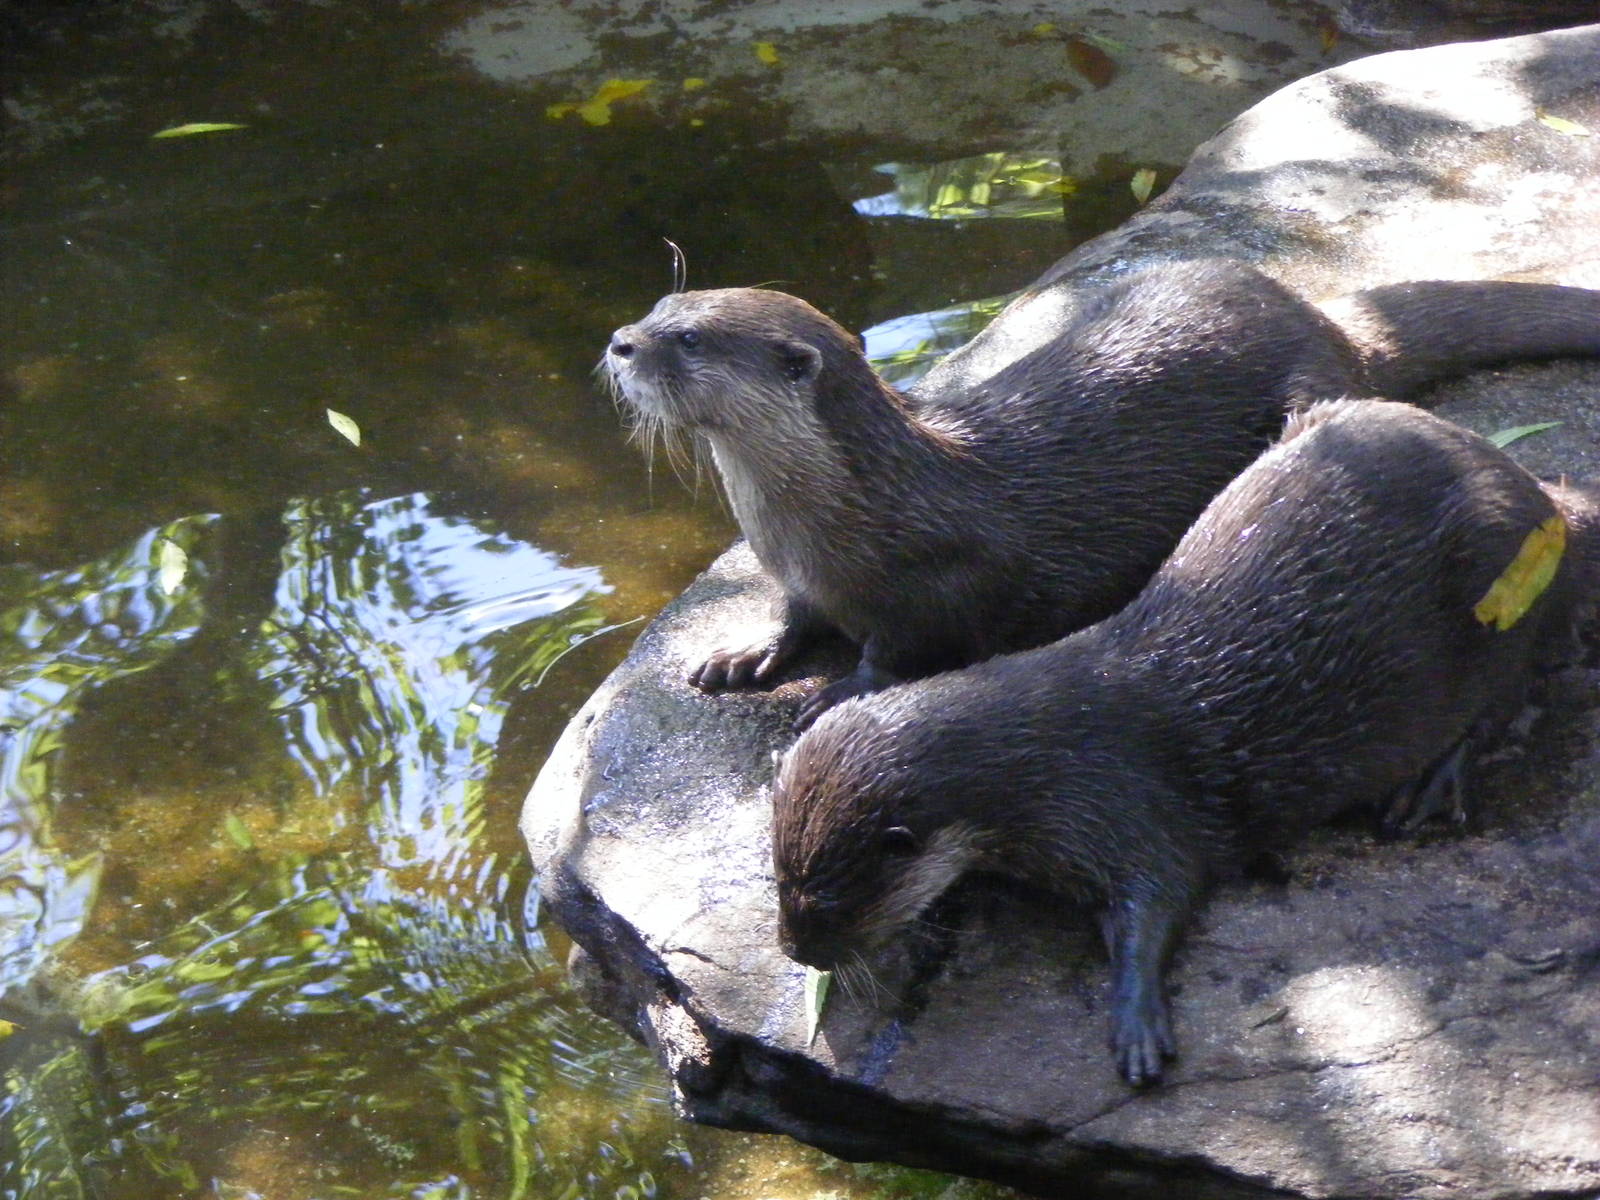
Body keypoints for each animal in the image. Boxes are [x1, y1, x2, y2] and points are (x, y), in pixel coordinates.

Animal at [605, 261, 1600, 727]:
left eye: (689, 338)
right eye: (658, 305)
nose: (619, 341)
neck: (831, 515)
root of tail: (1322, 320)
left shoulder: (953, 572)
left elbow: (910, 644)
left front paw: (839, 691)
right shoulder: (798, 574)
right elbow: (792, 616)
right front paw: (741, 654)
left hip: (1311, 385)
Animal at [771, 399, 1600, 1086]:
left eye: (828, 900)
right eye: (779, 877)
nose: (792, 949)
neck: (1038, 761)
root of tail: (1542, 497)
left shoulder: (1124, 802)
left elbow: (1162, 897)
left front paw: (1137, 1021)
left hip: (1502, 583)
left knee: (1506, 692)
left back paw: (1430, 788)